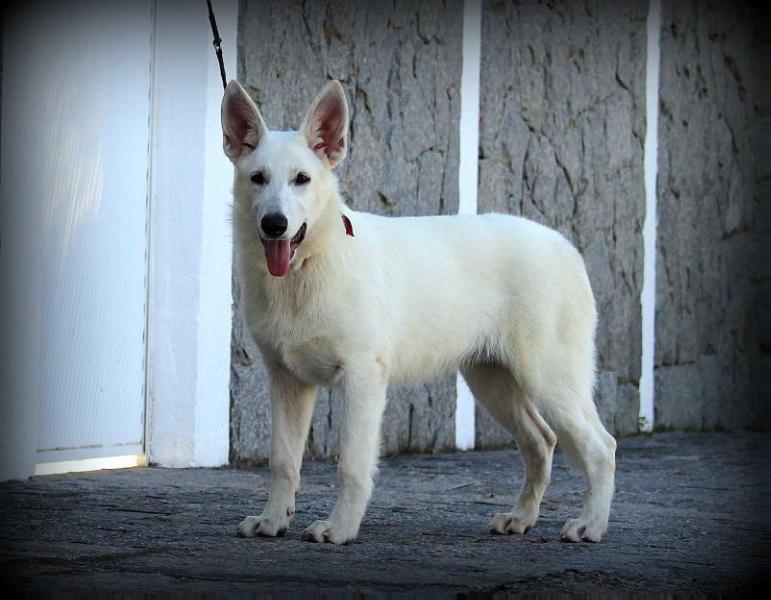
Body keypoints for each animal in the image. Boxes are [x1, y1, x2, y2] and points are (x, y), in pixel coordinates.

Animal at [220, 78, 620, 544]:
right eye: (257, 178)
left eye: (302, 179)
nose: (275, 224)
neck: (309, 266)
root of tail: (564, 245)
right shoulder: (287, 381)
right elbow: (283, 461)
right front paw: (272, 520)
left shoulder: (363, 377)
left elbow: (351, 465)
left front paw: (340, 528)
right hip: (493, 380)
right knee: (542, 441)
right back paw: (521, 517)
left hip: (549, 377)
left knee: (601, 448)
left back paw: (591, 524)